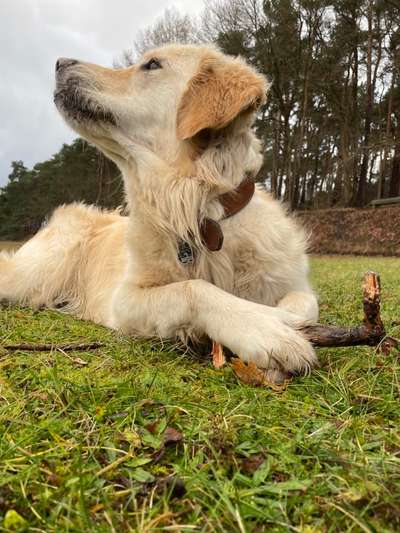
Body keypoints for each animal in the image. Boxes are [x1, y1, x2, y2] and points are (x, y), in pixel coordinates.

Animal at [0, 43, 318, 380]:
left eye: (152, 65)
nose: (59, 63)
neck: (197, 212)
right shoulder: (125, 299)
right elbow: (192, 288)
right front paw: (264, 329)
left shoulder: (294, 282)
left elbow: (303, 302)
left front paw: (283, 323)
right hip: (33, 274)